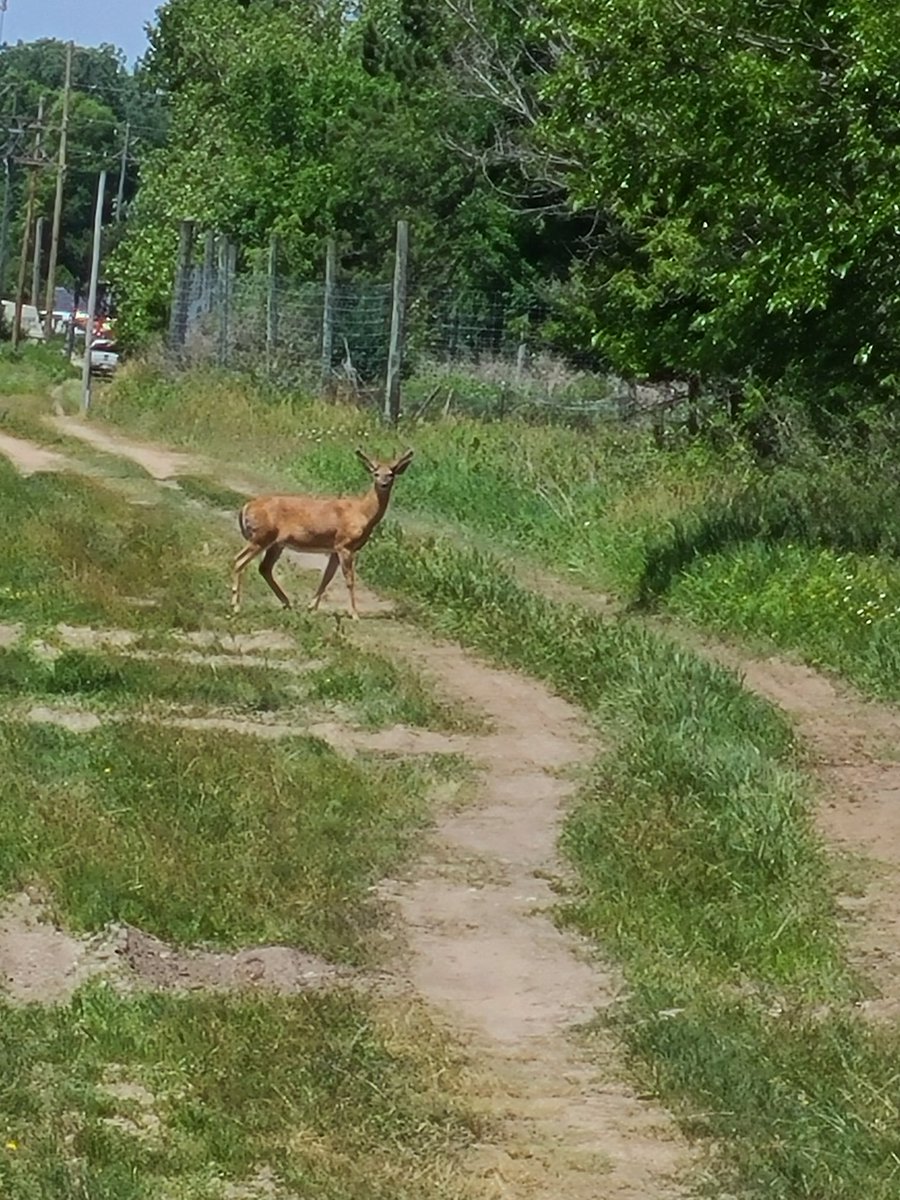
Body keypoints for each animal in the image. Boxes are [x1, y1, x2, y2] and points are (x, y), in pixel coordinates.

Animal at [231, 448, 414, 619]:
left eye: (391, 474)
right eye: (376, 473)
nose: (383, 484)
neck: (362, 512)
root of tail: (246, 506)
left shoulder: (335, 548)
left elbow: (327, 577)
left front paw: (312, 607)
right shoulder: (345, 545)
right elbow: (349, 580)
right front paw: (355, 614)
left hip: (275, 543)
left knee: (264, 568)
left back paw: (286, 603)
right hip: (261, 536)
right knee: (239, 560)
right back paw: (236, 606)